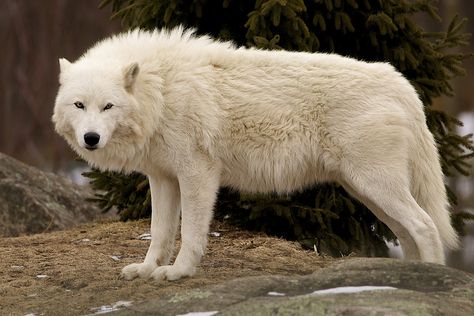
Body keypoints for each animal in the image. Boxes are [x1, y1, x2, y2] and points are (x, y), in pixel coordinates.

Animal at [53, 27, 458, 282]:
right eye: (79, 105)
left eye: (108, 106)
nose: (91, 138)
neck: (162, 90)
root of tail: (399, 82)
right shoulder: (163, 178)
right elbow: (160, 233)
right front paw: (148, 269)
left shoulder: (198, 174)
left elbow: (191, 233)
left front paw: (179, 272)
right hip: (366, 191)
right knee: (408, 232)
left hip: (374, 186)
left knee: (425, 226)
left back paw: (431, 278)